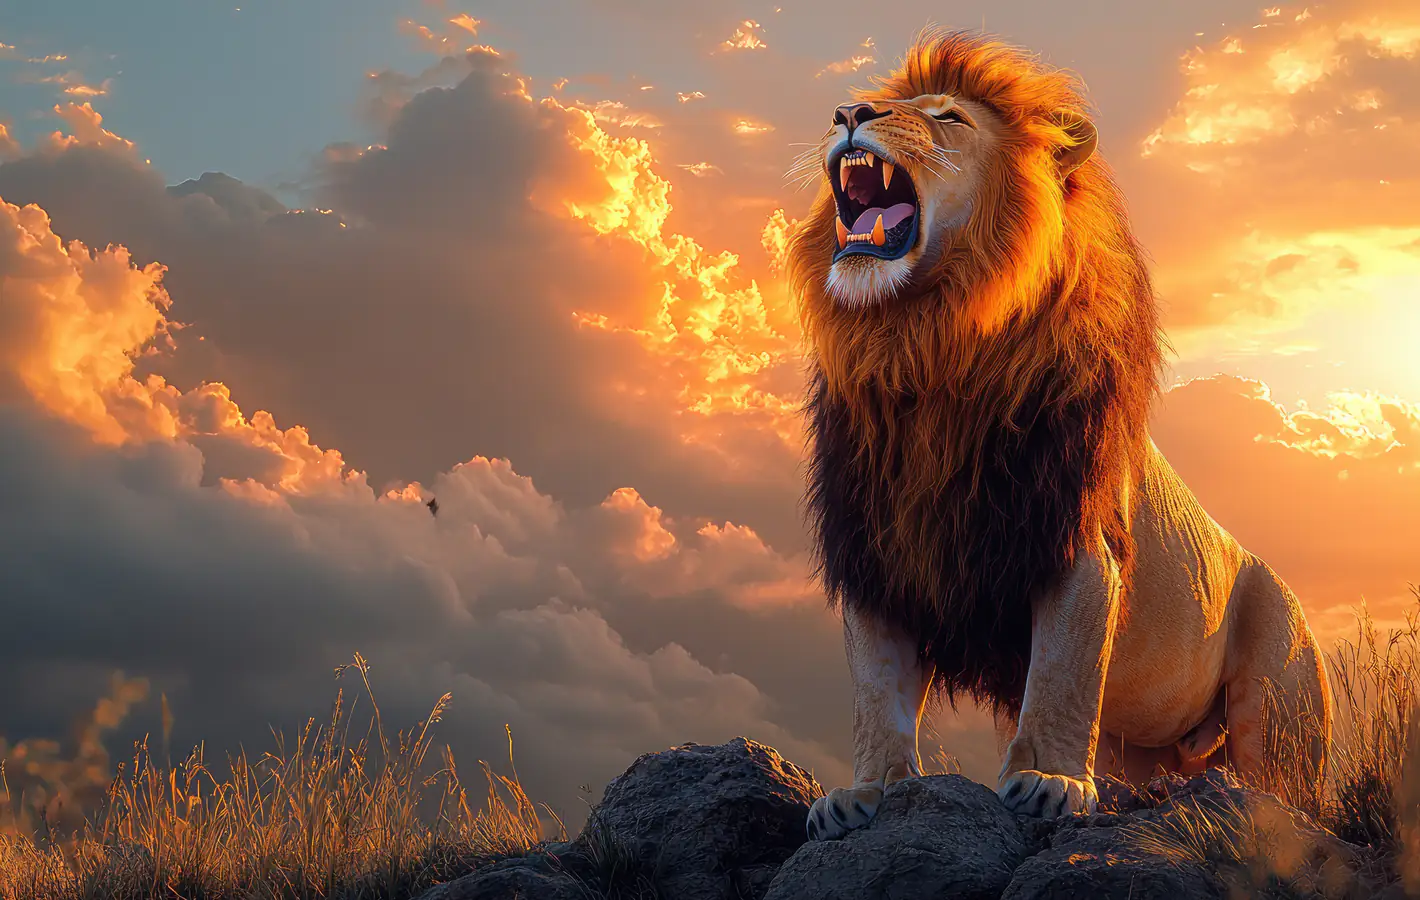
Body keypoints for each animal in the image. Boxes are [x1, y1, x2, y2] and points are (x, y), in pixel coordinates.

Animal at [786, 29, 1333, 839]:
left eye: (949, 118)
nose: (850, 113)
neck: (926, 348)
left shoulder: (1076, 540)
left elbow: (1060, 677)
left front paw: (1047, 781)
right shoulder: (879, 550)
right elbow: (875, 693)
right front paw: (866, 793)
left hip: (1277, 696)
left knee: (1289, 801)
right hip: (1147, 744)